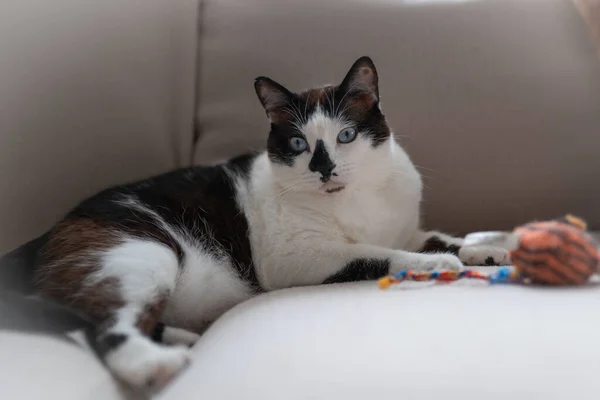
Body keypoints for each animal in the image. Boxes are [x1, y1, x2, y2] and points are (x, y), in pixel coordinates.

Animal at [34, 57, 506, 390]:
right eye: (298, 143)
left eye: (346, 135)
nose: (323, 168)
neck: (357, 202)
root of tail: (45, 236)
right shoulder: (293, 259)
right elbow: (373, 254)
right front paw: (431, 264)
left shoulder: (406, 228)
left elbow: (439, 236)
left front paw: (490, 249)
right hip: (138, 254)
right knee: (104, 325)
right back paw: (154, 364)